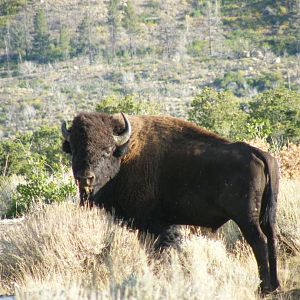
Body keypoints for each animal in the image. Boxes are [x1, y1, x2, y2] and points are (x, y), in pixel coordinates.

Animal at [61, 112, 282, 292]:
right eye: (74, 150)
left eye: (107, 150)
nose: (85, 178)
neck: (125, 155)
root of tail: (257, 153)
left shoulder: (151, 225)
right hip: (266, 215)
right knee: (271, 239)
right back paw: (275, 285)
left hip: (246, 218)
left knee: (259, 241)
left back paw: (264, 288)